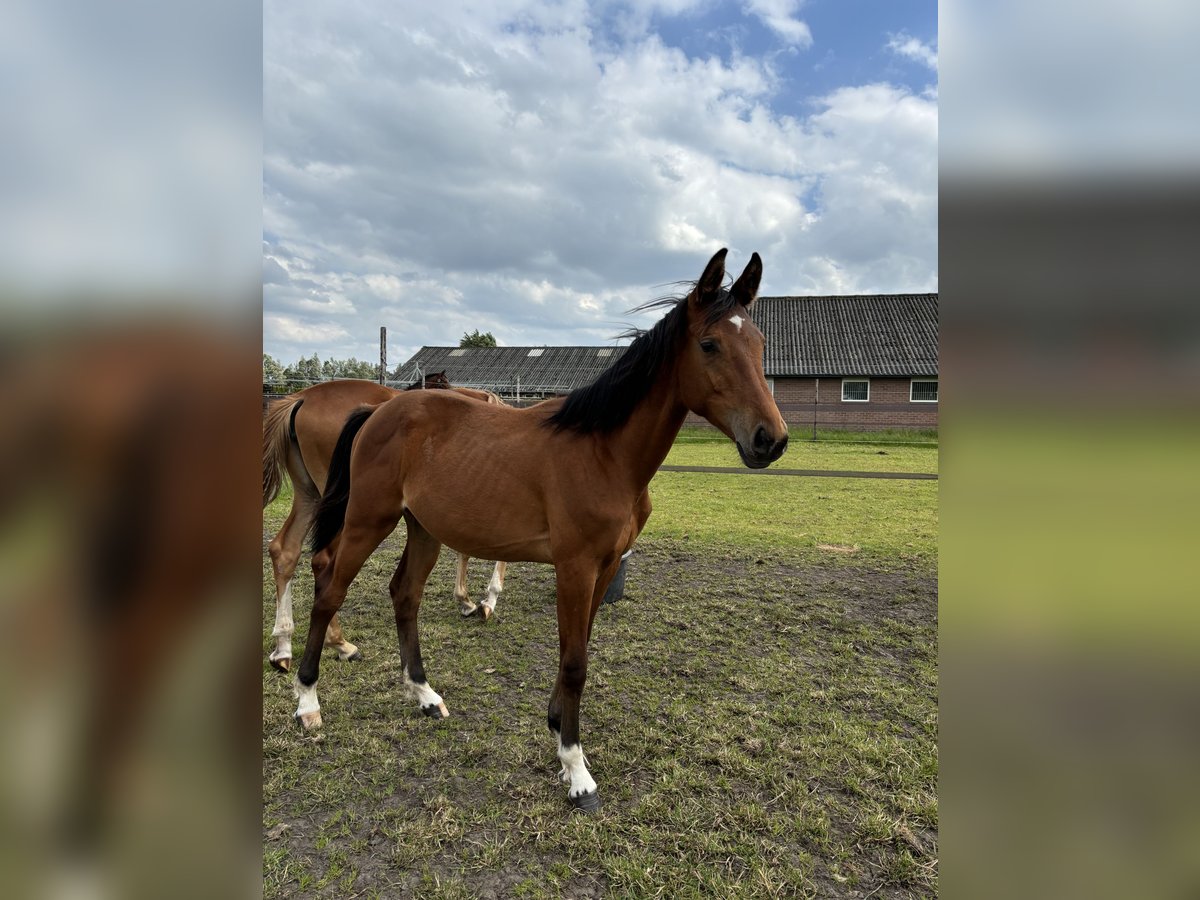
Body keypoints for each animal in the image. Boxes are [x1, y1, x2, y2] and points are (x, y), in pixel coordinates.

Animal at [297, 250, 787, 816]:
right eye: (709, 344)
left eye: (759, 344)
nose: (770, 440)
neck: (604, 452)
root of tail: (379, 409)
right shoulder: (575, 568)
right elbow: (574, 662)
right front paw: (576, 770)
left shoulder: (603, 569)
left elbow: (579, 650)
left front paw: (557, 729)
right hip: (367, 521)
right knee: (329, 591)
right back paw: (306, 702)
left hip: (422, 530)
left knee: (404, 594)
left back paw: (424, 695)